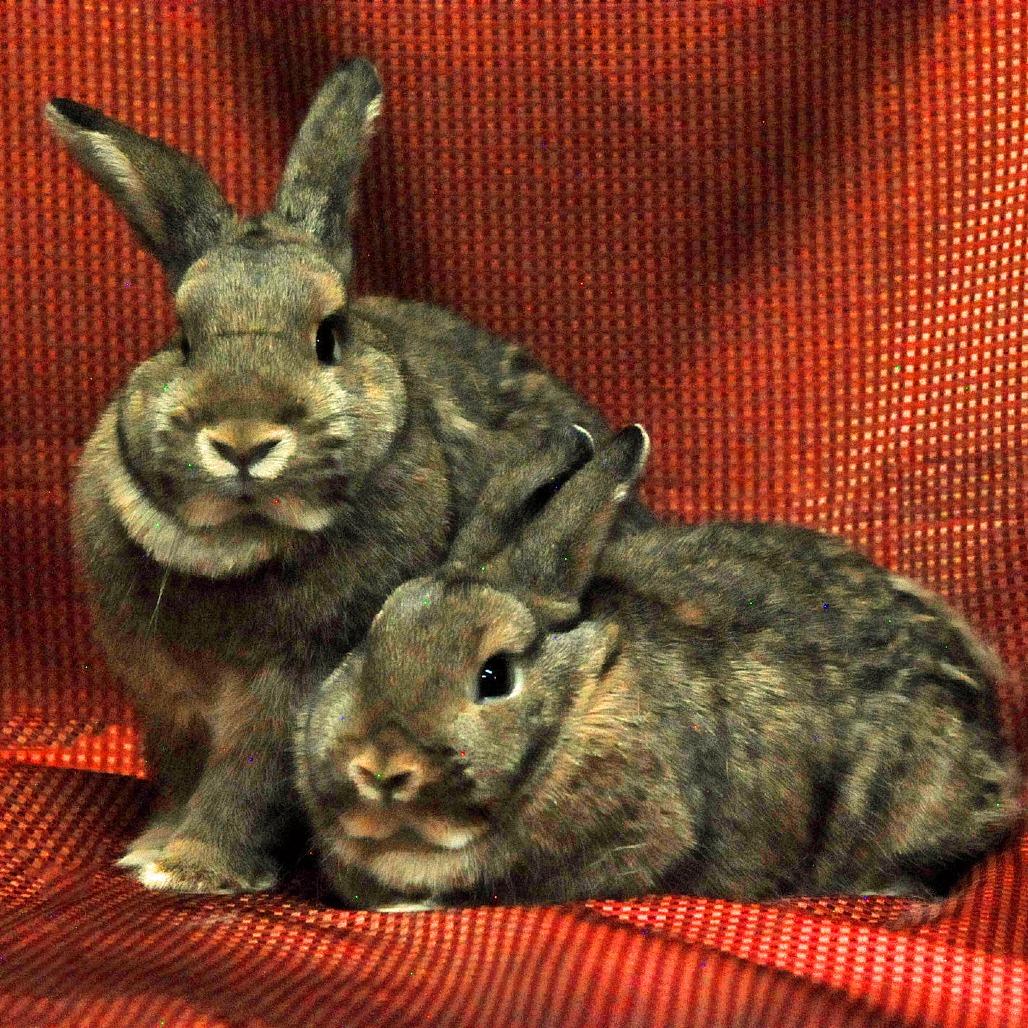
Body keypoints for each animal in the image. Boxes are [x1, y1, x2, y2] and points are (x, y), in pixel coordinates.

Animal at [46, 59, 652, 894]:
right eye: (182, 338)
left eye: (328, 336)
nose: (242, 440)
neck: (236, 541)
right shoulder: (167, 702)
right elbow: (185, 772)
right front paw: (154, 846)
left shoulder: (292, 688)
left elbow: (247, 779)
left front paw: (190, 867)